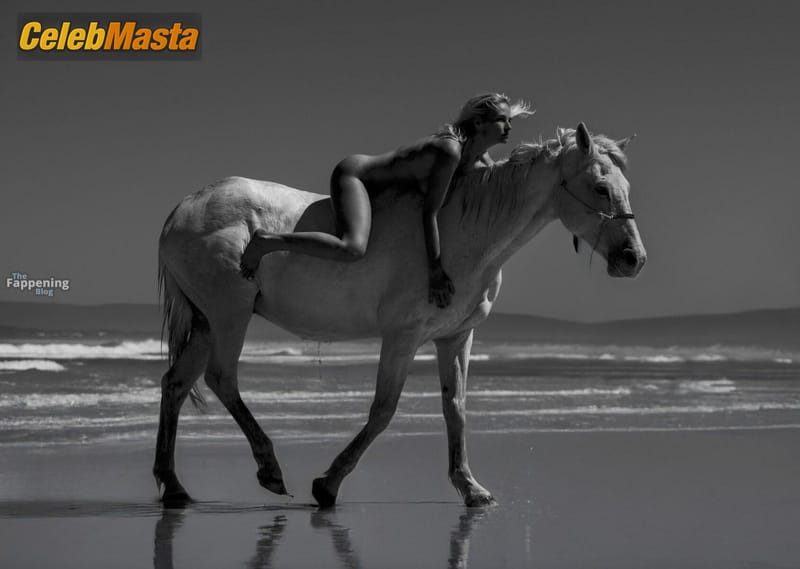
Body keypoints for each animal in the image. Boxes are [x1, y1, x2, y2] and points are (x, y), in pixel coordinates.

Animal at [154, 122, 646, 508]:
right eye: (600, 188)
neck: (464, 232)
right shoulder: (403, 338)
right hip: (229, 315)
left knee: (176, 383)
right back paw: (269, 469)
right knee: (222, 379)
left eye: (625, 189)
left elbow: (455, 407)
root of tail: (184, 208)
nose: (633, 259)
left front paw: (471, 489)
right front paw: (328, 484)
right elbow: (383, 410)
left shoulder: (456, 338)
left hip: (206, 323)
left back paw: (174, 487)